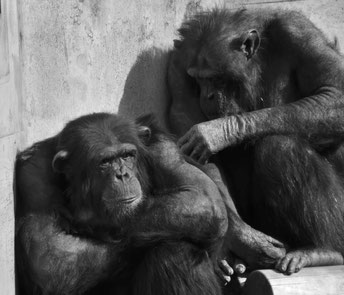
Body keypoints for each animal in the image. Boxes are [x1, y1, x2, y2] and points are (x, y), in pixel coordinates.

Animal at [15, 112, 228, 294]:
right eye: (105, 162)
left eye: (127, 155)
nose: (123, 174)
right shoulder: (32, 174)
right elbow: (50, 256)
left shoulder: (161, 148)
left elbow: (201, 197)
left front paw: (89, 216)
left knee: (177, 251)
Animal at [167, 7, 344, 276]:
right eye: (198, 80)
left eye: (215, 78)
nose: (207, 95)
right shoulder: (179, 64)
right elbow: (187, 136)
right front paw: (244, 241)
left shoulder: (299, 31)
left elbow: (334, 94)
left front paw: (218, 132)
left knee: (279, 146)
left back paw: (323, 251)